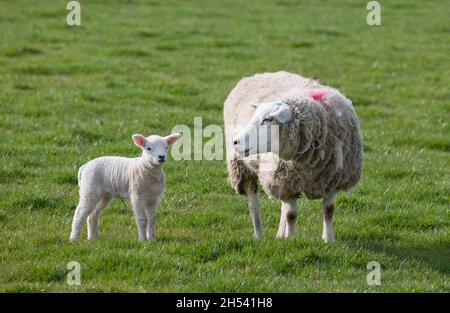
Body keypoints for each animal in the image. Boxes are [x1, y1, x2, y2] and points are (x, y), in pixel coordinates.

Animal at [223, 70, 364, 241]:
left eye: (268, 119)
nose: (236, 141)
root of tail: (257, 75)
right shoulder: (287, 183)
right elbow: (291, 215)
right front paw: (291, 240)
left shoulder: (333, 180)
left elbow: (328, 211)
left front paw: (328, 239)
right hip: (244, 168)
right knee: (253, 204)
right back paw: (259, 235)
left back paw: (279, 234)